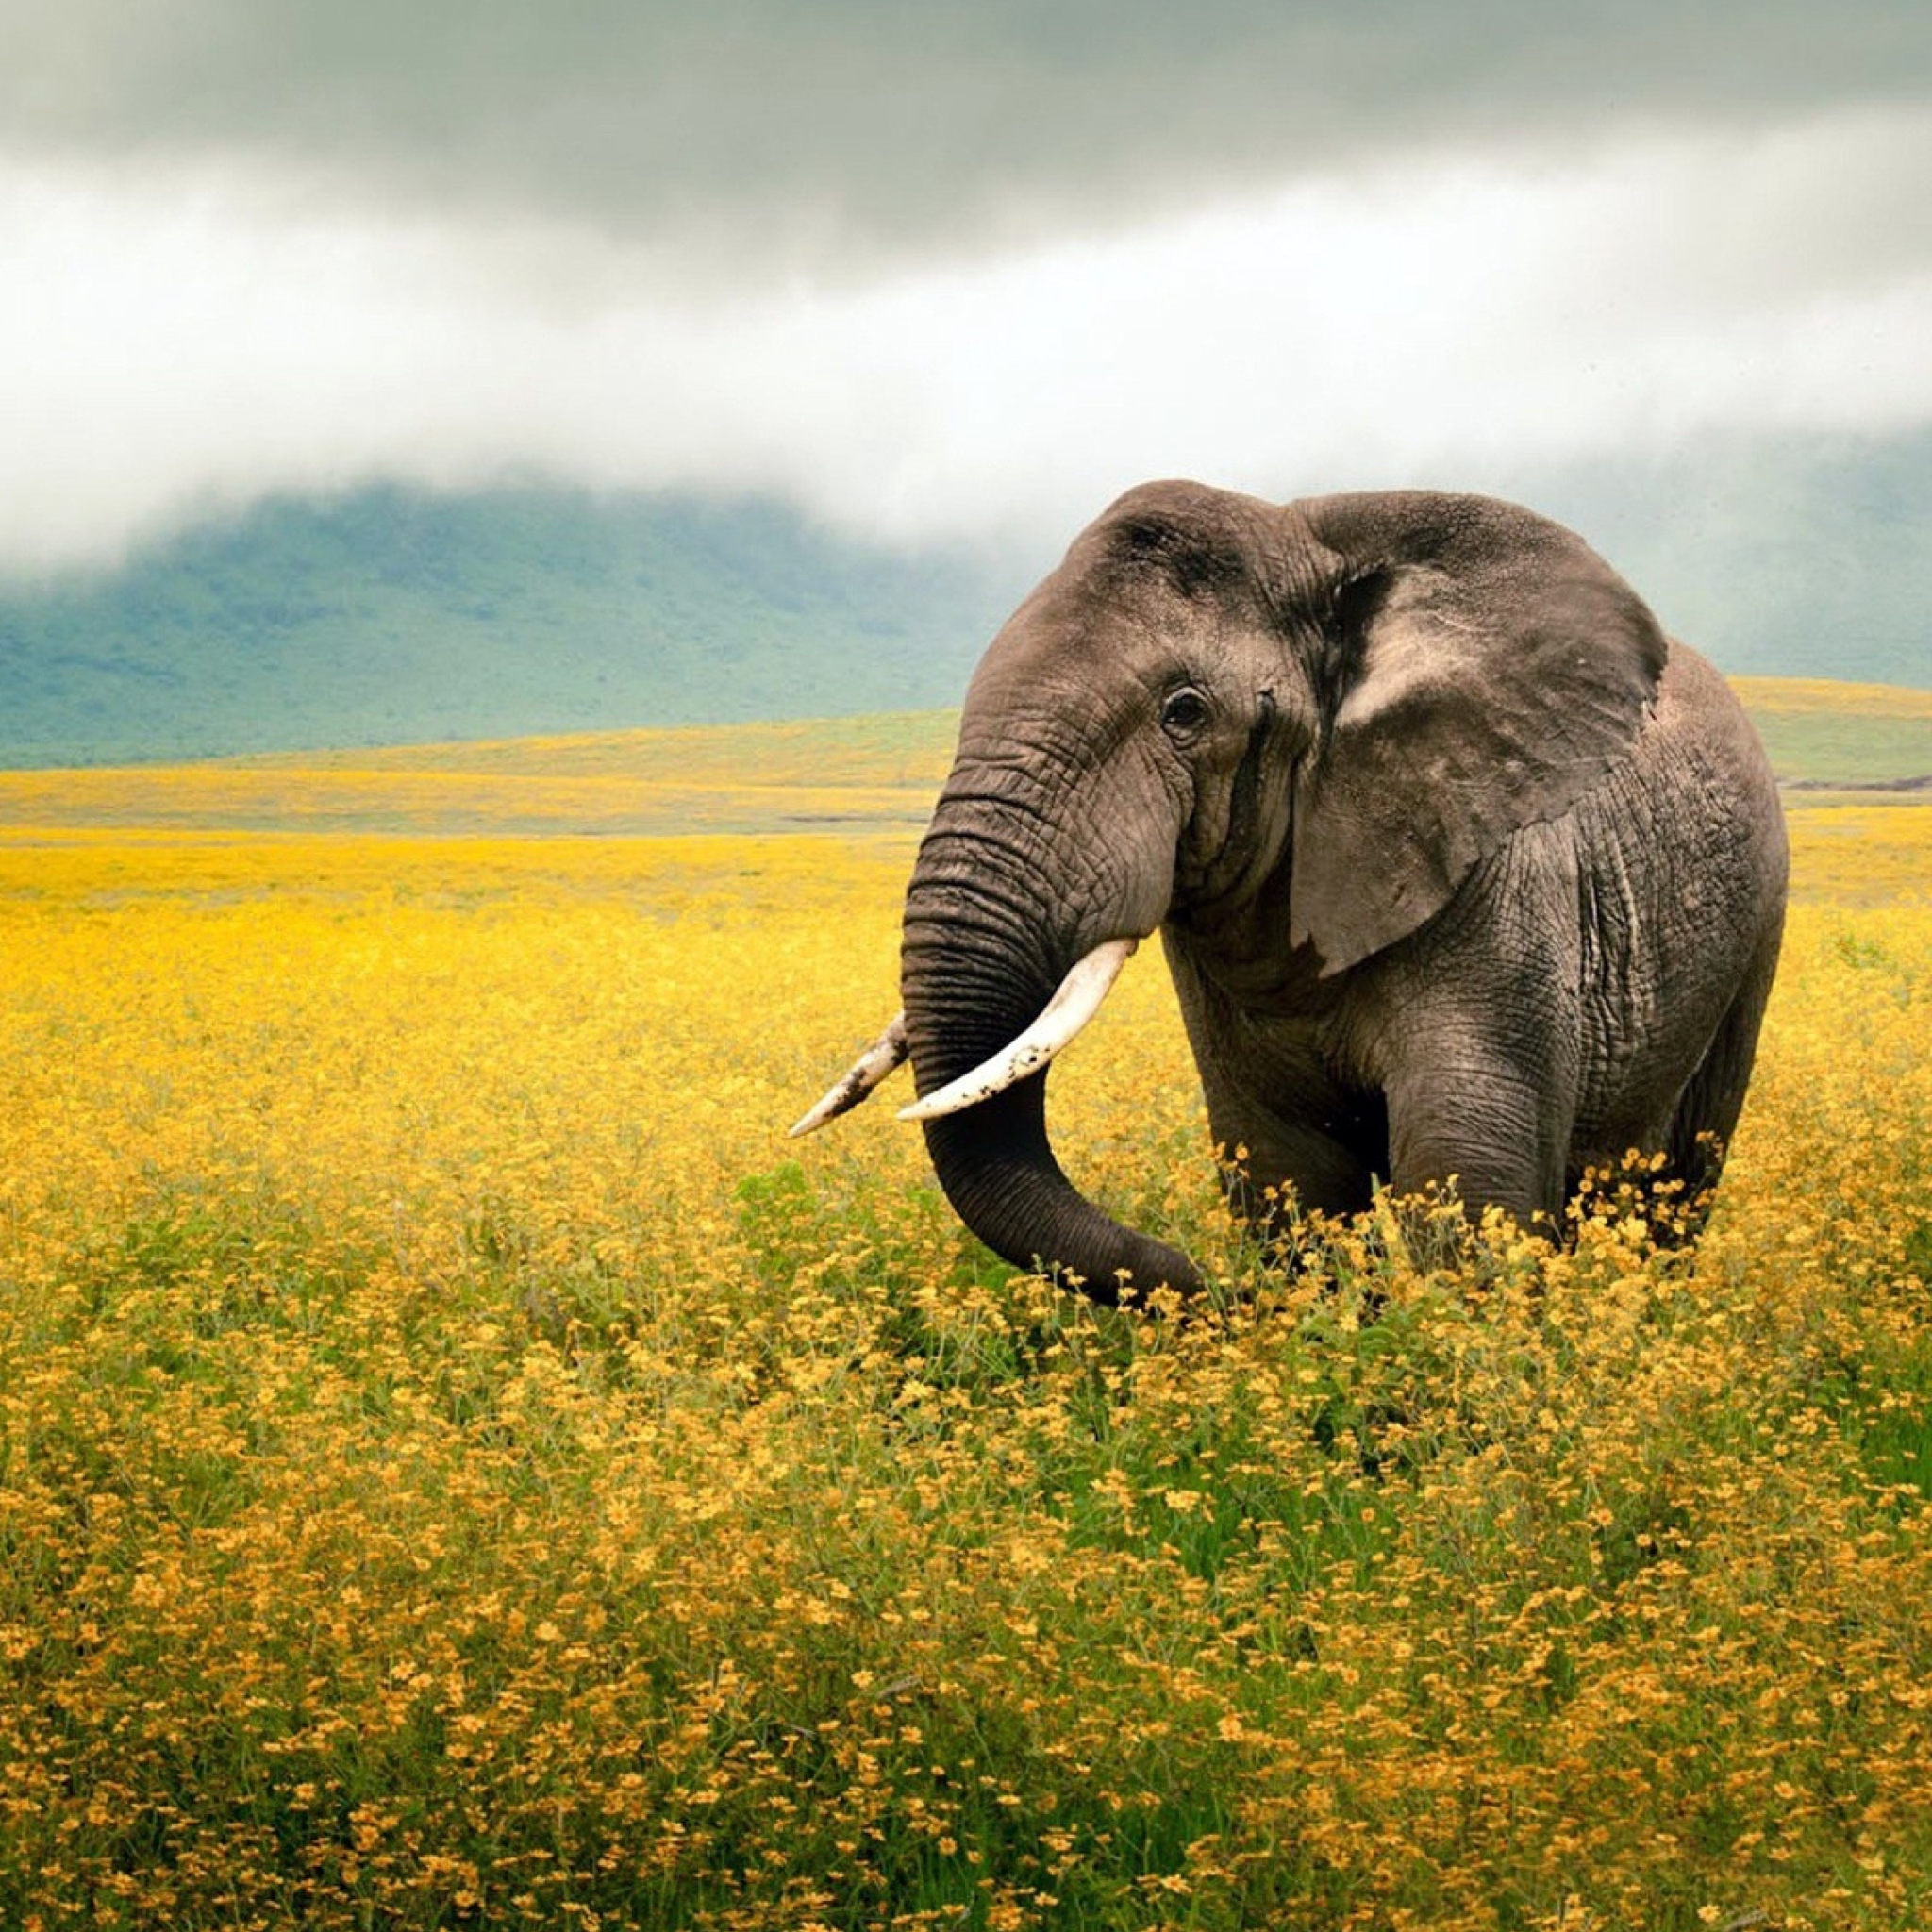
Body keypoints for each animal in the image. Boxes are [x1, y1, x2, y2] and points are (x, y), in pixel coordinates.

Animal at [791, 475, 1785, 1306]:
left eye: (1185, 713)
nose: (1200, 1286)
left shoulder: (1502, 875)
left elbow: (1465, 1175)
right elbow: (1287, 1173)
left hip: (1755, 929)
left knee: (1677, 1182)